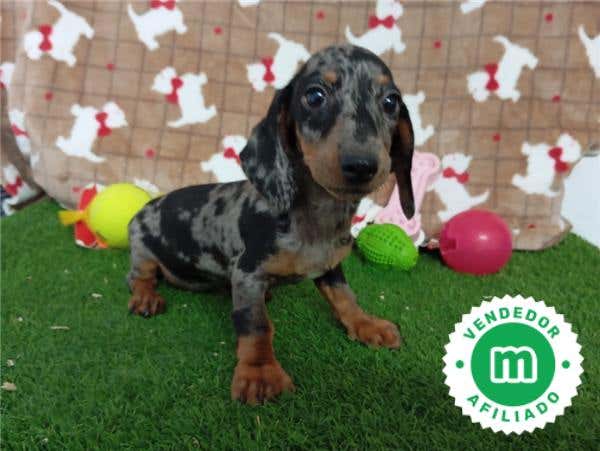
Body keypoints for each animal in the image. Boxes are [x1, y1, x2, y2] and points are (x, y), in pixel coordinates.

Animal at [126, 45, 415, 405]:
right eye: (315, 95)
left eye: (390, 101)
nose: (362, 165)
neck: (317, 218)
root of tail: (148, 205)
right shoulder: (248, 272)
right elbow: (256, 325)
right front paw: (260, 372)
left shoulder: (330, 267)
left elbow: (346, 297)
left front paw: (366, 324)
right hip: (142, 249)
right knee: (138, 276)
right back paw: (145, 297)